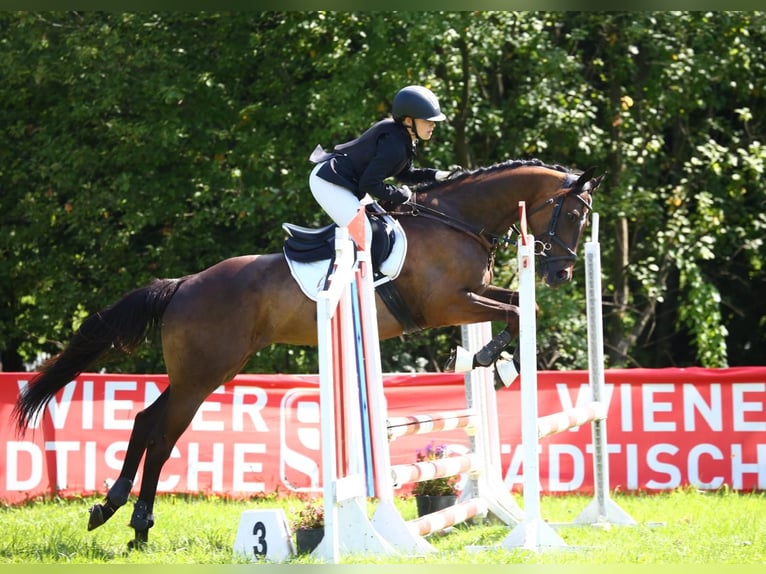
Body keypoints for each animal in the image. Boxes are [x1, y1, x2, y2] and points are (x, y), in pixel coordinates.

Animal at [10, 158, 600, 548]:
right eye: (573, 213)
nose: (562, 273)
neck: (455, 219)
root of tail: (182, 286)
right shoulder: (445, 304)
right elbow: (518, 312)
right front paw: (488, 358)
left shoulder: (469, 298)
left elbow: (519, 307)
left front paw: (495, 359)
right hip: (204, 373)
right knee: (162, 433)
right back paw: (132, 523)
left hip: (206, 371)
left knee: (145, 420)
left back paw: (116, 515)